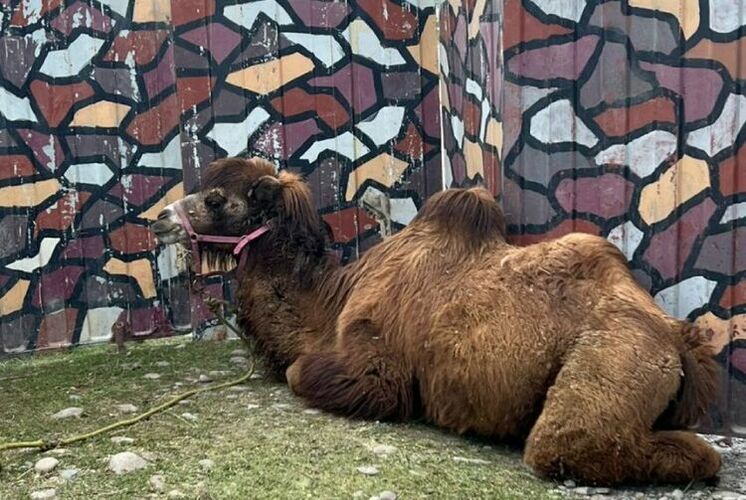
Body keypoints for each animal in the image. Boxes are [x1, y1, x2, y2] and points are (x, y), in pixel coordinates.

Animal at [150, 157, 721, 486]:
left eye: (216, 199)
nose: (157, 220)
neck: (329, 303)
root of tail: (678, 339)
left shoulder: (375, 367)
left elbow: (299, 374)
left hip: (615, 354)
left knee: (565, 444)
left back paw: (701, 456)